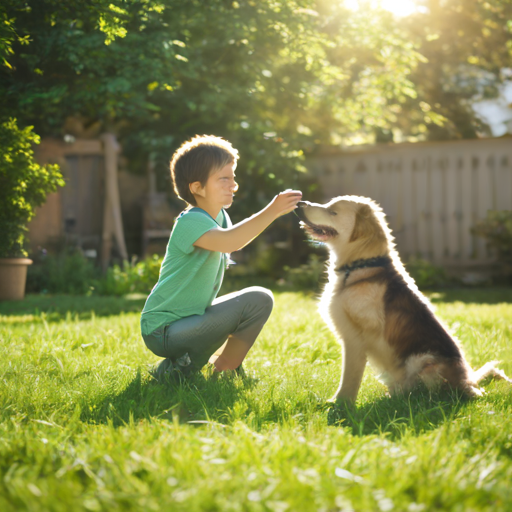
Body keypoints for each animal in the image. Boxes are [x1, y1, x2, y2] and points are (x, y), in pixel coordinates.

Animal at [296, 197, 512, 404]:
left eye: (332, 211)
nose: (299, 203)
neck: (361, 265)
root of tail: (468, 382)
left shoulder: (355, 339)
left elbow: (349, 377)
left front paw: (339, 404)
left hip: (424, 362)